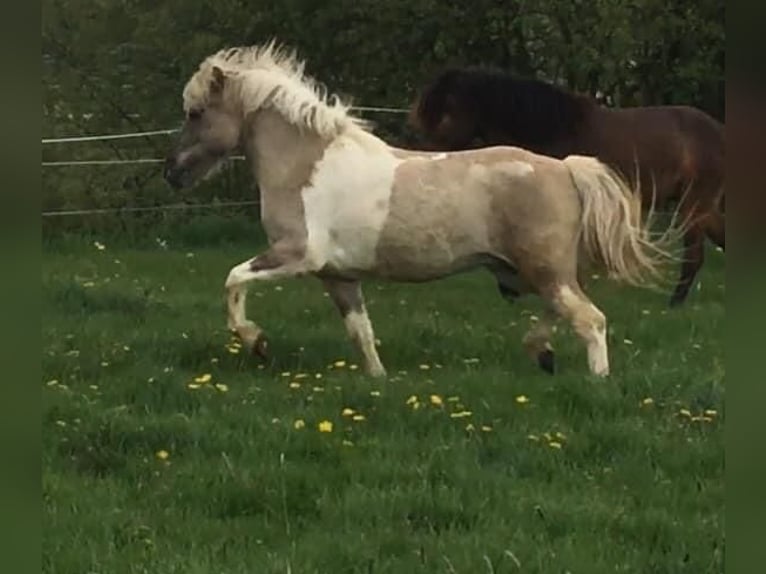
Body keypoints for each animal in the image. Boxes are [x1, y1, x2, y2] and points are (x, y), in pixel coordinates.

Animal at [164, 42, 680, 380]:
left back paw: (596, 381)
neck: (306, 164)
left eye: (196, 113)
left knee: (590, 320)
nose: (172, 173)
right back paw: (542, 353)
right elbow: (361, 333)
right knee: (564, 311)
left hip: (544, 269)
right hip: (526, 271)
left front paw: (258, 342)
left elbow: (233, 281)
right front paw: (378, 382)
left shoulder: (297, 255)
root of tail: (566, 168)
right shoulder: (337, 275)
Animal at [408, 66, 728, 308]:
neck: (553, 128)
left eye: (445, 116)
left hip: (694, 204)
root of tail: (718, 131)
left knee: (694, 256)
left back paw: (674, 304)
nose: (423, 168)